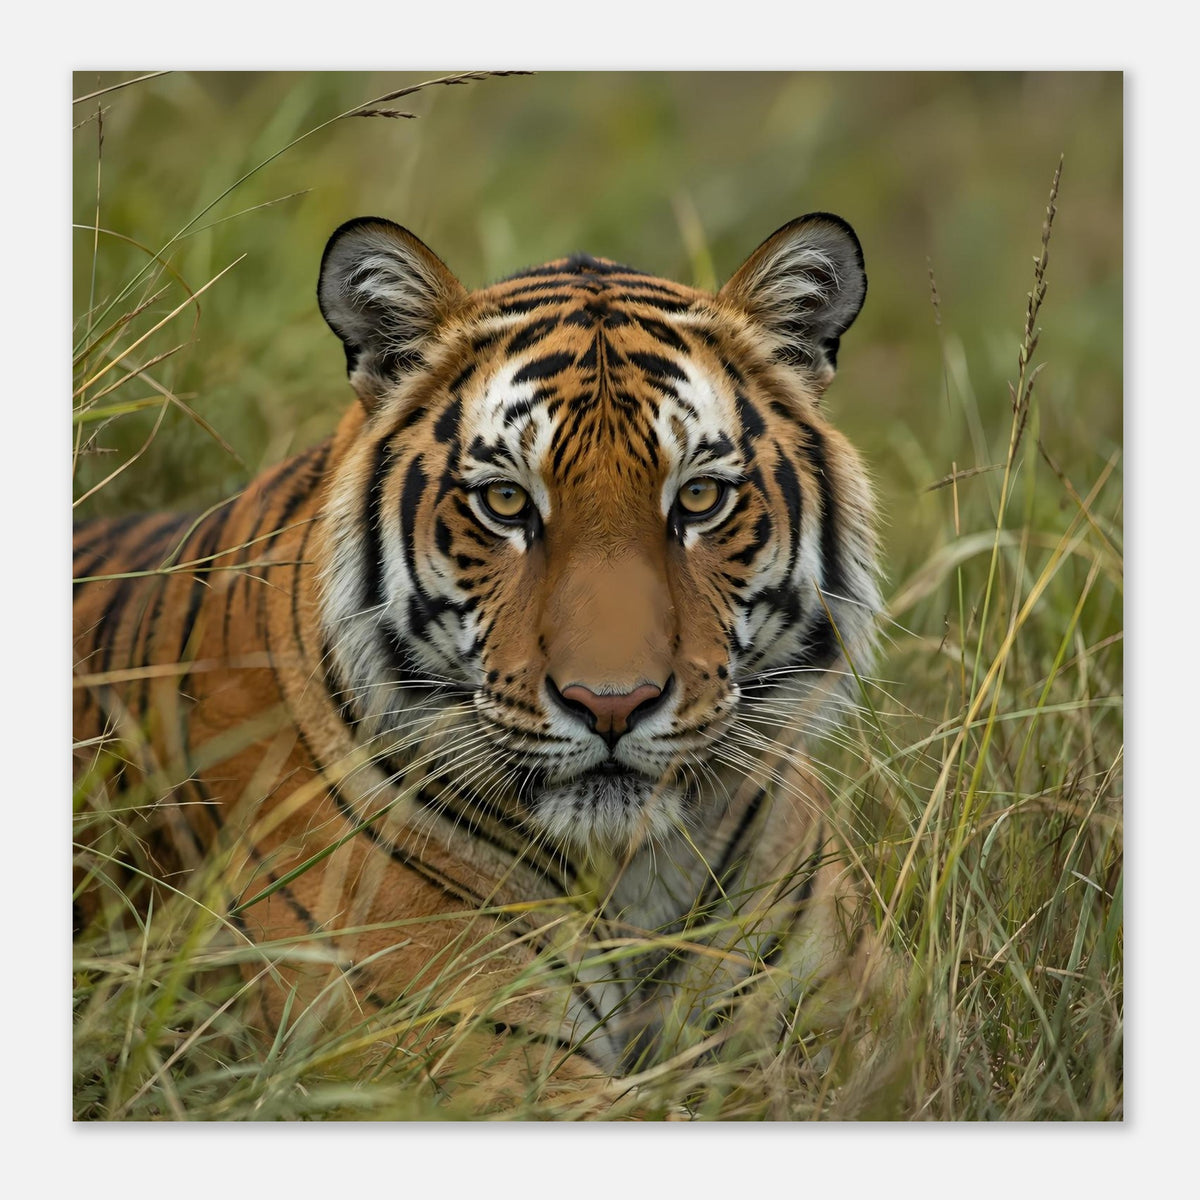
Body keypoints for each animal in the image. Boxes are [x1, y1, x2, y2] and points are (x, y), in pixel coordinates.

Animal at [73, 211, 889, 1107]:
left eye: (700, 497)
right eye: (505, 502)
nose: (612, 704)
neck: (634, 875)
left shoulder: (847, 1023)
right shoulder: (479, 1061)